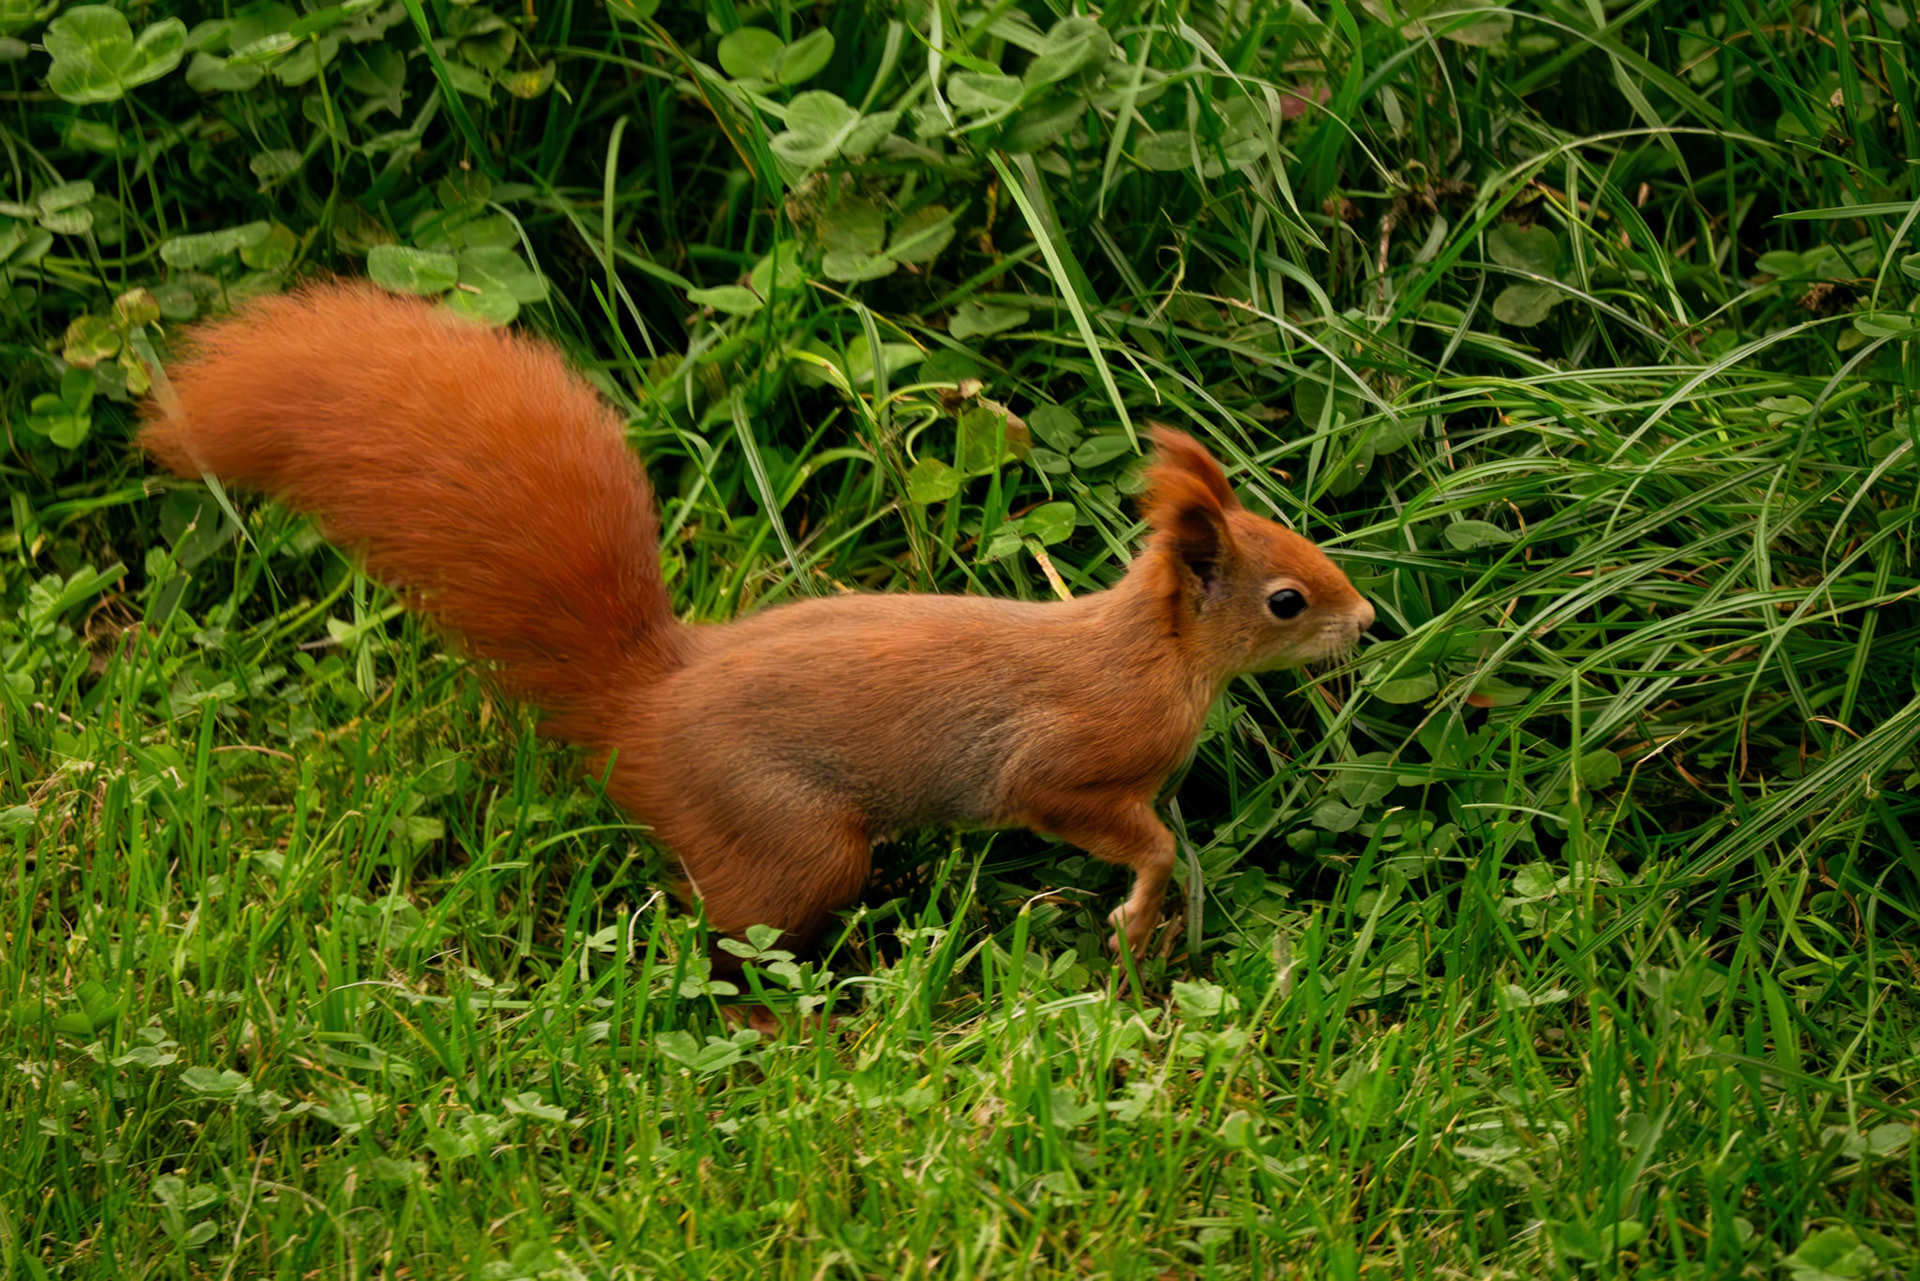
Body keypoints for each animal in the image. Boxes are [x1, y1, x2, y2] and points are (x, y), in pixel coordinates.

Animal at [140, 282, 1374, 961]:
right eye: (1286, 598)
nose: (1365, 621)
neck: (1152, 650)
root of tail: (643, 708)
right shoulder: (1068, 762)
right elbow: (1122, 826)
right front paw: (1139, 907)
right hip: (789, 835)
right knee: (728, 945)